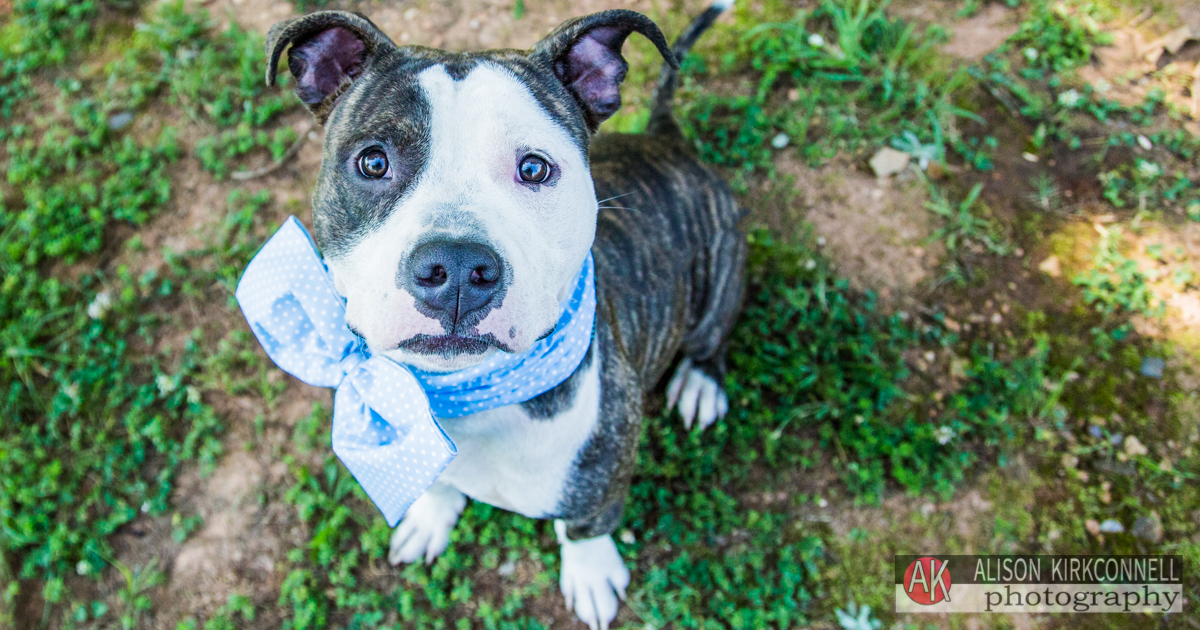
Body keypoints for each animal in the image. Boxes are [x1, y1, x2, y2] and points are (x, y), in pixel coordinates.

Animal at [266, 3, 744, 624]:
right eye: (373, 162)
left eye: (535, 169)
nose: (456, 266)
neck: (464, 392)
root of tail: (669, 144)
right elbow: (433, 481)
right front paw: (430, 516)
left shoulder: (603, 480)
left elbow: (586, 529)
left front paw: (590, 575)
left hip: (721, 270)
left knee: (712, 338)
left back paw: (700, 383)